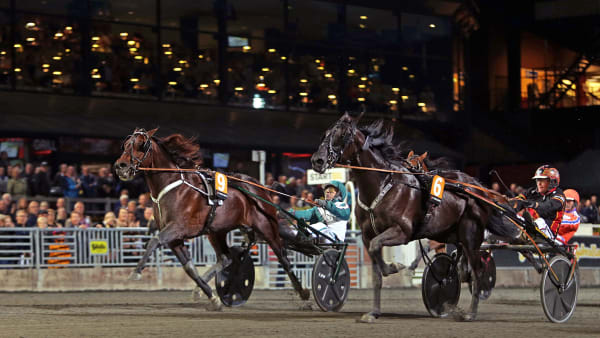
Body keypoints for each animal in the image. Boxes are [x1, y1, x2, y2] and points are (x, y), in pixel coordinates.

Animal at [115, 128, 310, 310]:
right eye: (125, 145)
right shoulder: (175, 238)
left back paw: (304, 294)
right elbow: (190, 269)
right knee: (226, 258)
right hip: (216, 231)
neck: (174, 187)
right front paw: (212, 297)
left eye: (141, 144)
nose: (120, 165)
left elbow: (154, 241)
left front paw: (136, 271)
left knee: (283, 259)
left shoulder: (178, 227)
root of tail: (261, 188)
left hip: (267, 227)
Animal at [312, 114, 516, 322]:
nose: (318, 160)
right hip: (449, 234)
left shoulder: (402, 231)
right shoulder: (367, 236)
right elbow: (376, 270)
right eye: (325, 133)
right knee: (460, 265)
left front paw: (394, 266)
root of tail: (478, 188)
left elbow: (378, 247)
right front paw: (374, 312)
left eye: (343, 135)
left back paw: (471, 312)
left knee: (477, 270)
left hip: (470, 236)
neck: (382, 186)